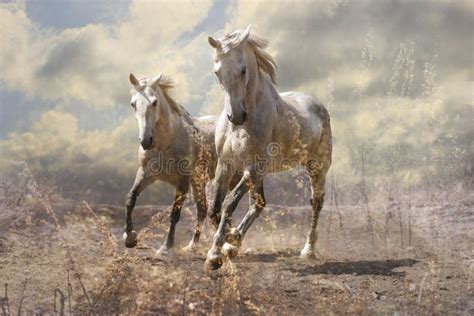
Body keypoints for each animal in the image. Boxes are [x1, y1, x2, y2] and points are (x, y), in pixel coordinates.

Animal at [205, 25, 334, 270]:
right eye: (216, 72)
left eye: (243, 70)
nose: (236, 115)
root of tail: (317, 104)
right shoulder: (226, 166)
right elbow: (214, 209)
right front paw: (229, 242)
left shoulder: (253, 169)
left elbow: (228, 203)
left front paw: (215, 254)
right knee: (259, 204)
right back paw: (235, 241)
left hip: (316, 167)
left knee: (316, 203)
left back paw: (308, 250)